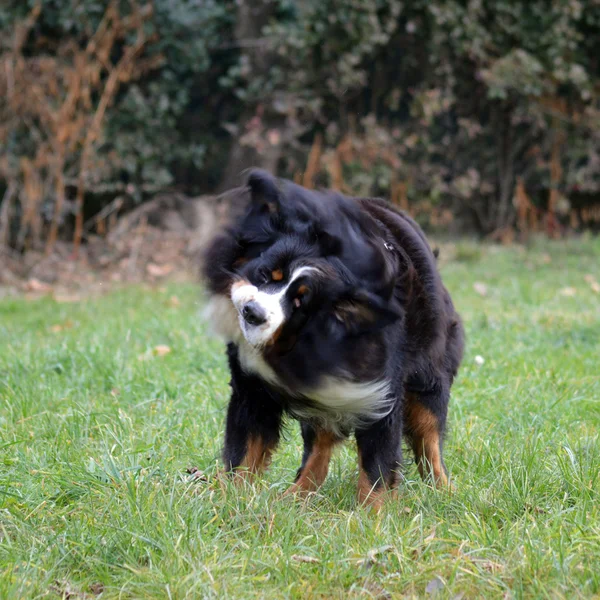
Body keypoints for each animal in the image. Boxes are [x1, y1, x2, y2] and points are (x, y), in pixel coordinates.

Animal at [202, 170, 464, 506]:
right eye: (266, 274)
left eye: (301, 302)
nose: (252, 313)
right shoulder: (252, 386)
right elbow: (244, 447)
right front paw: (229, 500)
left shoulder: (379, 389)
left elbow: (378, 458)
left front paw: (372, 512)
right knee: (320, 442)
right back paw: (297, 496)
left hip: (429, 368)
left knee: (429, 432)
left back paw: (444, 489)